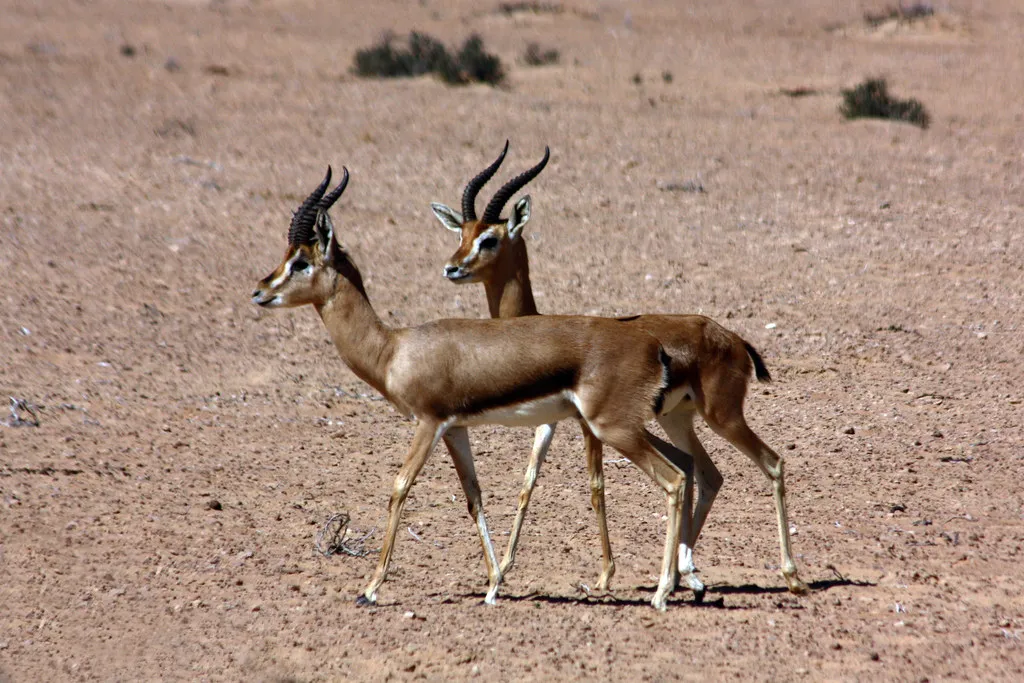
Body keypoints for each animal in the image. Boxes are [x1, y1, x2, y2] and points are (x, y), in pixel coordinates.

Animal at [251, 165, 706, 610]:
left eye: (301, 262)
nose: (259, 291)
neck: (394, 348)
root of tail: (652, 344)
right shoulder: (455, 429)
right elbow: (474, 497)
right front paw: (492, 585)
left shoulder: (428, 423)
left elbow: (399, 488)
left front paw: (371, 588)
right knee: (686, 470)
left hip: (613, 428)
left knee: (675, 480)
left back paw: (663, 592)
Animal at [430, 142, 808, 596]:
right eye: (461, 234)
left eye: (489, 239)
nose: (452, 268)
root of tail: (730, 336)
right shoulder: (549, 423)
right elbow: (528, 482)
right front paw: (503, 567)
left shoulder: (585, 424)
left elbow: (596, 487)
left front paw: (605, 574)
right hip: (678, 419)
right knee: (707, 473)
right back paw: (687, 575)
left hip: (721, 417)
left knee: (770, 463)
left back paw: (789, 576)